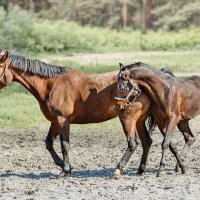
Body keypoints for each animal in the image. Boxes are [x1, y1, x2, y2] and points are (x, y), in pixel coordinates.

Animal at [0, 49, 155, 177]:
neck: (51, 85)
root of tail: (140, 85)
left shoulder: (63, 120)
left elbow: (64, 145)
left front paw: (65, 170)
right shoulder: (55, 122)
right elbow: (49, 143)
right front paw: (64, 165)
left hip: (127, 119)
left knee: (132, 143)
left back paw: (118, 170)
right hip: (139, 121)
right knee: (146, 142)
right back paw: (141, 170)